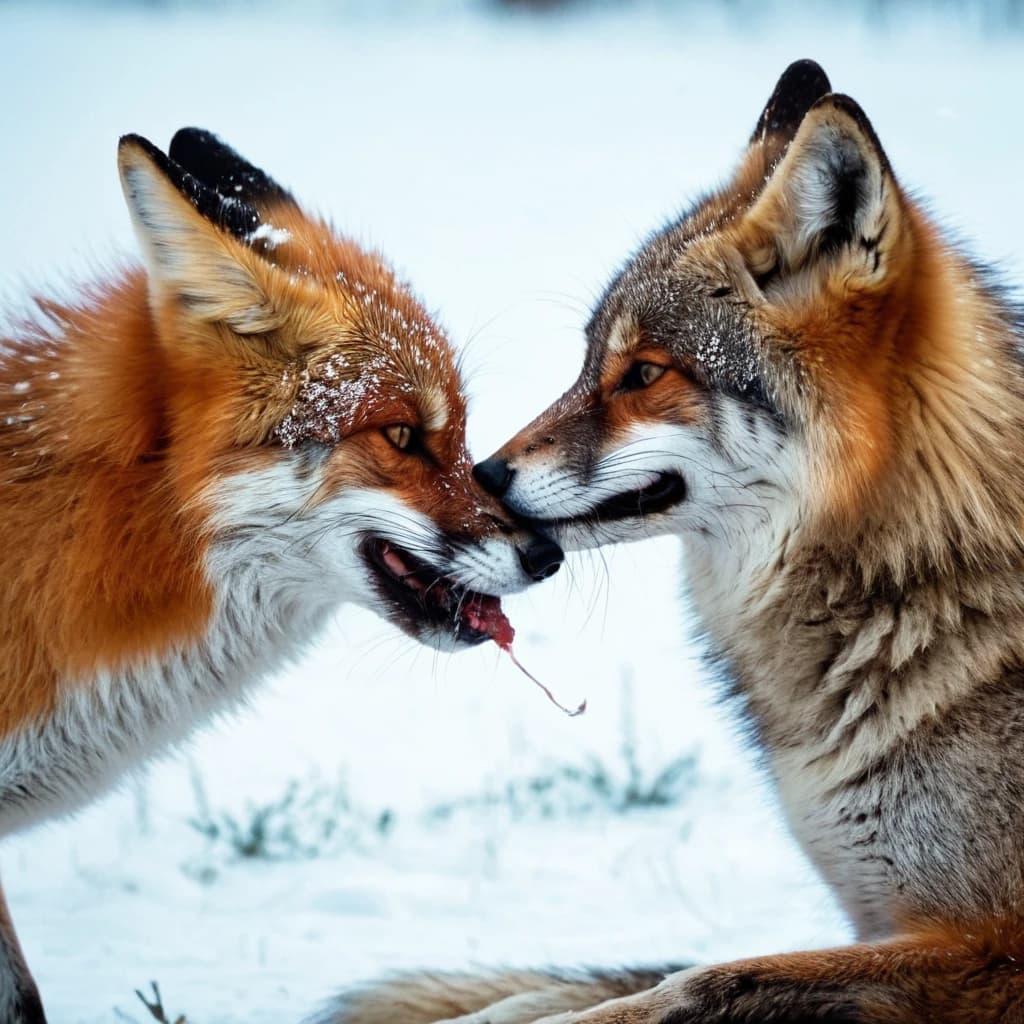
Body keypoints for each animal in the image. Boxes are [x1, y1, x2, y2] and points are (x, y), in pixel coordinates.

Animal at [319, 60, 1024, 1024]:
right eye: (589, 363)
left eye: (645, 374)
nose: (487, 475)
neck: (915, 566)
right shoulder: (881, 918)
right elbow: (619, 975)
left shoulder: (984, 951)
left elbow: (693, 984)